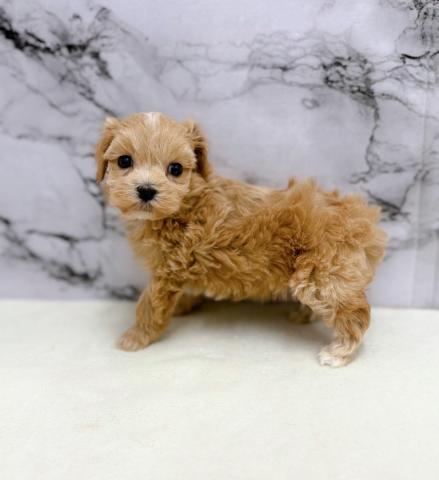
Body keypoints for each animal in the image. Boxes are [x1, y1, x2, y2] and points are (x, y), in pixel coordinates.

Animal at [95, 112, 387, 367]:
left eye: (175, 169)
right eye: (124, 161)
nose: (146, 190)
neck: (182, 205)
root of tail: (361, 217)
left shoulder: (167, 272)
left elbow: (149, 306)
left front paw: (134, 338)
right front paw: (183, 305)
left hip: (322, 276)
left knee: (355, 314)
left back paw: (338, 353)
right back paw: (303, 315)